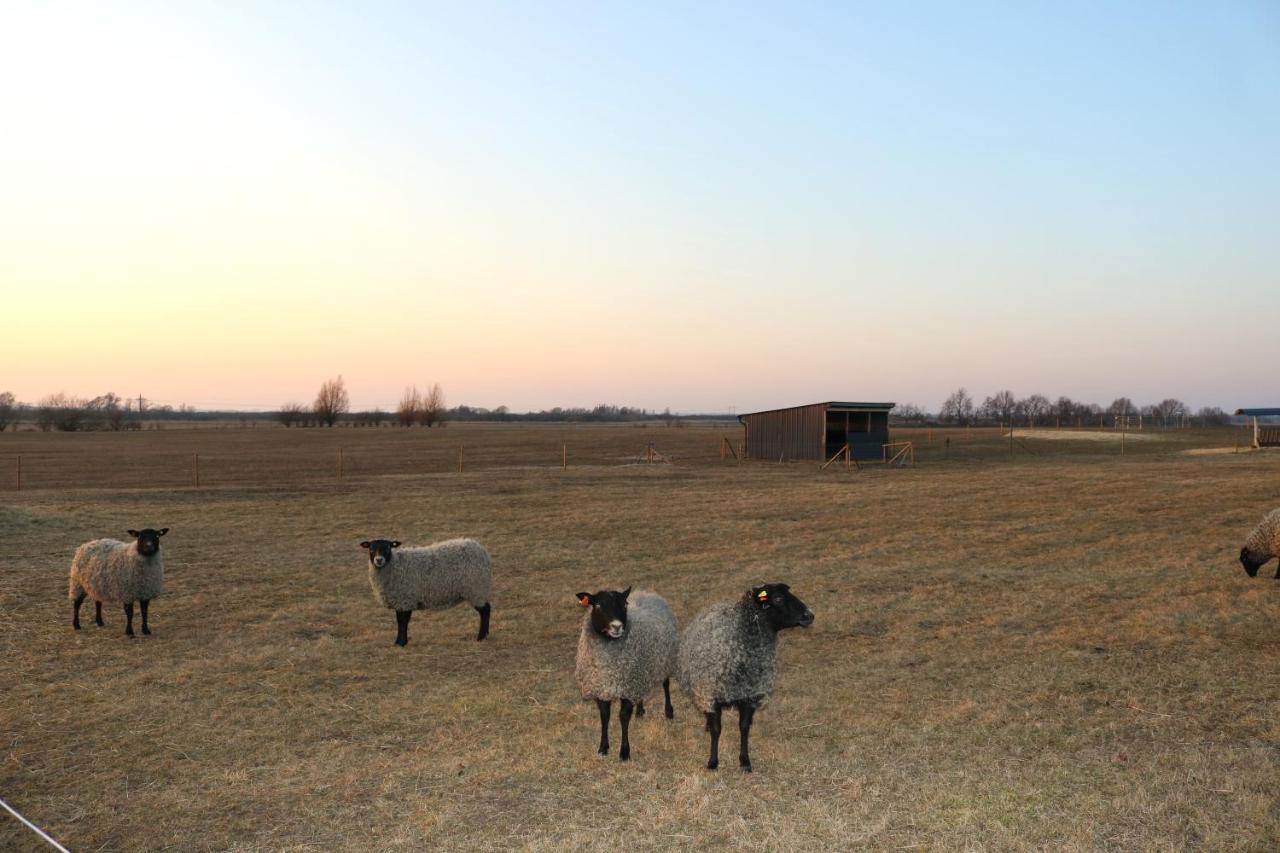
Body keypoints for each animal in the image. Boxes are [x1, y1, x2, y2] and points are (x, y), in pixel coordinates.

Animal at [368, 537, 496, 645]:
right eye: (371, 548)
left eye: (388, 548)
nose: (379, 560)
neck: (395, 565)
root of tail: (482, 551)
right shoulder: (402, 601)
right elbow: (401, 621)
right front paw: (400, 642)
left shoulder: (405, 599)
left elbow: (403, 622)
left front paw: (401, 642)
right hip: (477, 590)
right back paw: (485, 636)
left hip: (476, 589)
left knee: (485, 610)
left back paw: (481, 637)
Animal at [576, 584, 680, 758]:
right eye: (598, 605)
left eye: (624, 605)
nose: (617, 626)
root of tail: (646, 592)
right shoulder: (603, 687)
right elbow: (605, 717)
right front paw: (603, 748)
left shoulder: (627, 686)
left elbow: (623, 717)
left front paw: (624, 752)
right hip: (640, 673)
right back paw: (640, 710)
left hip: (664, 660)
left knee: (666, 685)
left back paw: (668, 712)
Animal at [675, 581, 814, 768]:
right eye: (778, 598)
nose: (809, 615)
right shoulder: (713, 694)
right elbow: (717, 730)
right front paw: (713, 761)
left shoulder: (749, 695)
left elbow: (744, 727)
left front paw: (745, 761)